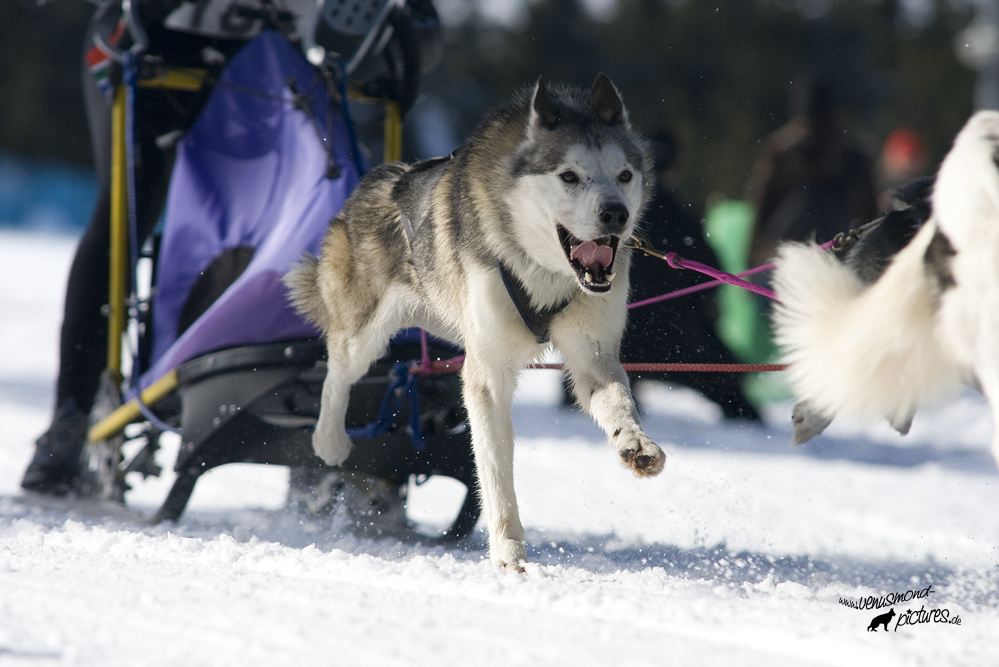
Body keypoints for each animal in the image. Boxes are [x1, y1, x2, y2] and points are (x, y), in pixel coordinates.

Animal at [288, 77, 664, 568]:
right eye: (569, 176)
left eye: (624, 175)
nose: (616, 214)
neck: (542, 271)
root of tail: (371, 183)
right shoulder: (487, 373)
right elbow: (496, 471)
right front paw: (509, 552)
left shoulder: (592, 354)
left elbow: (617, 399)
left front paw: (634, 443)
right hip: (363, 334)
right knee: (337, 373)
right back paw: (329, 439)